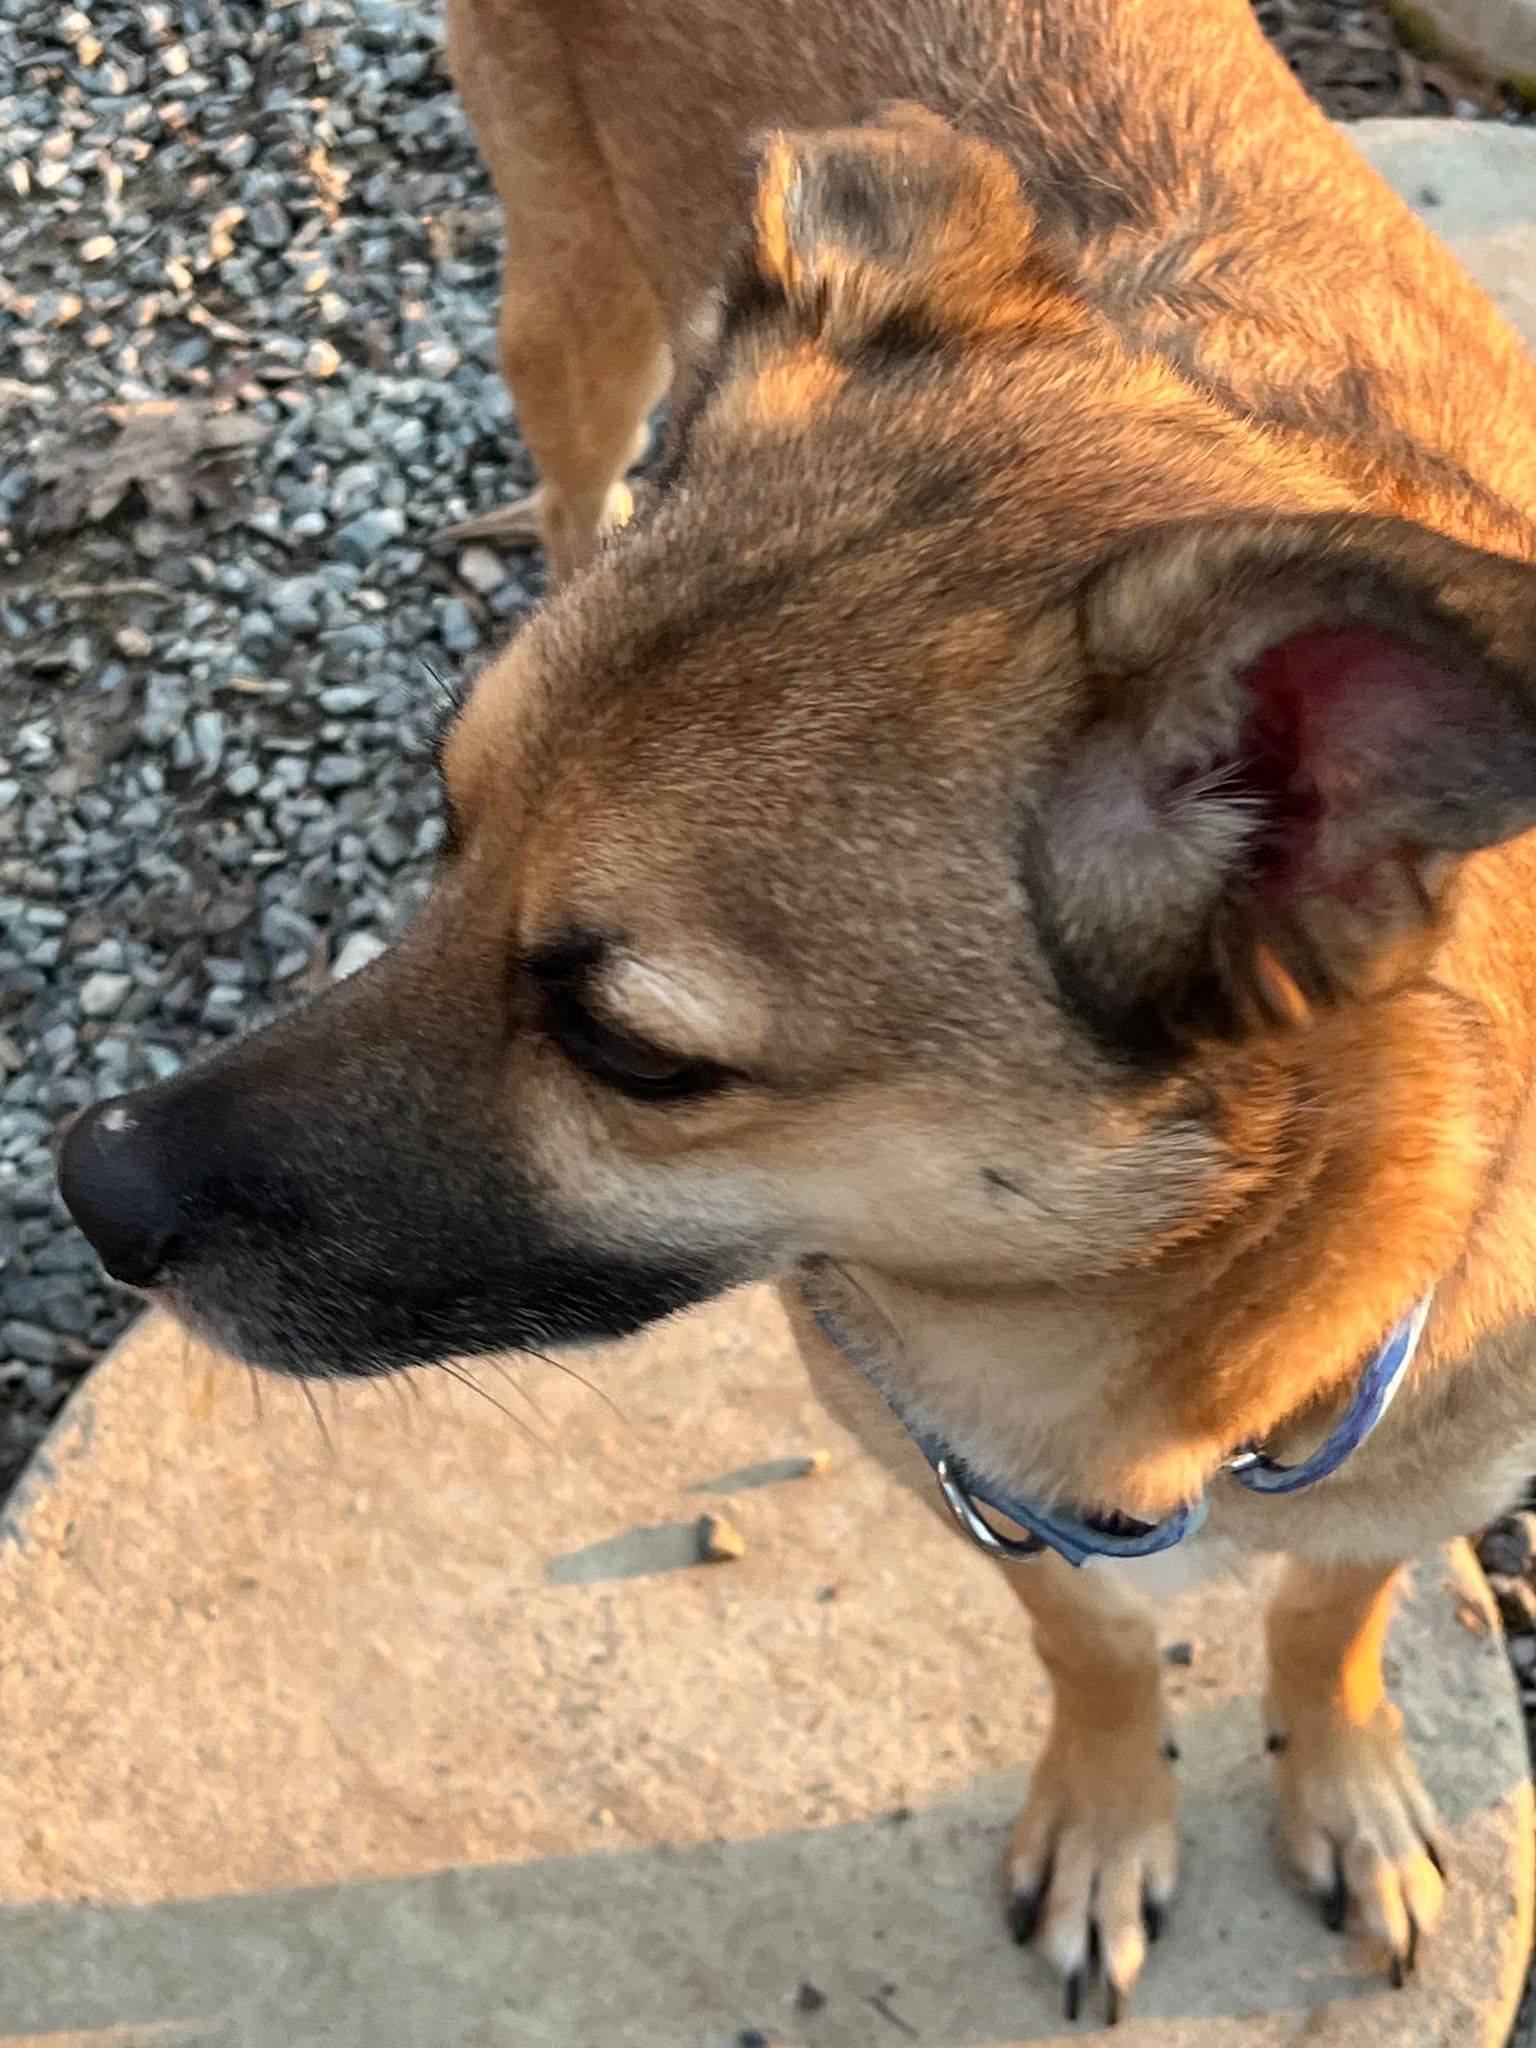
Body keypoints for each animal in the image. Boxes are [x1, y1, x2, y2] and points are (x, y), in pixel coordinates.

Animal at [54, 0, 1536, 2023]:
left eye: (635, 1052)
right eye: (450, 827)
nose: (90, 1180)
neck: (1180, 1325)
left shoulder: (1419, 1466)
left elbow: (1332, 1603)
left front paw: (1350, 1773)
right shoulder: (946, 1463)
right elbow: (1089, 1643)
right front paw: (1108, 1808)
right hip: (572, 303)